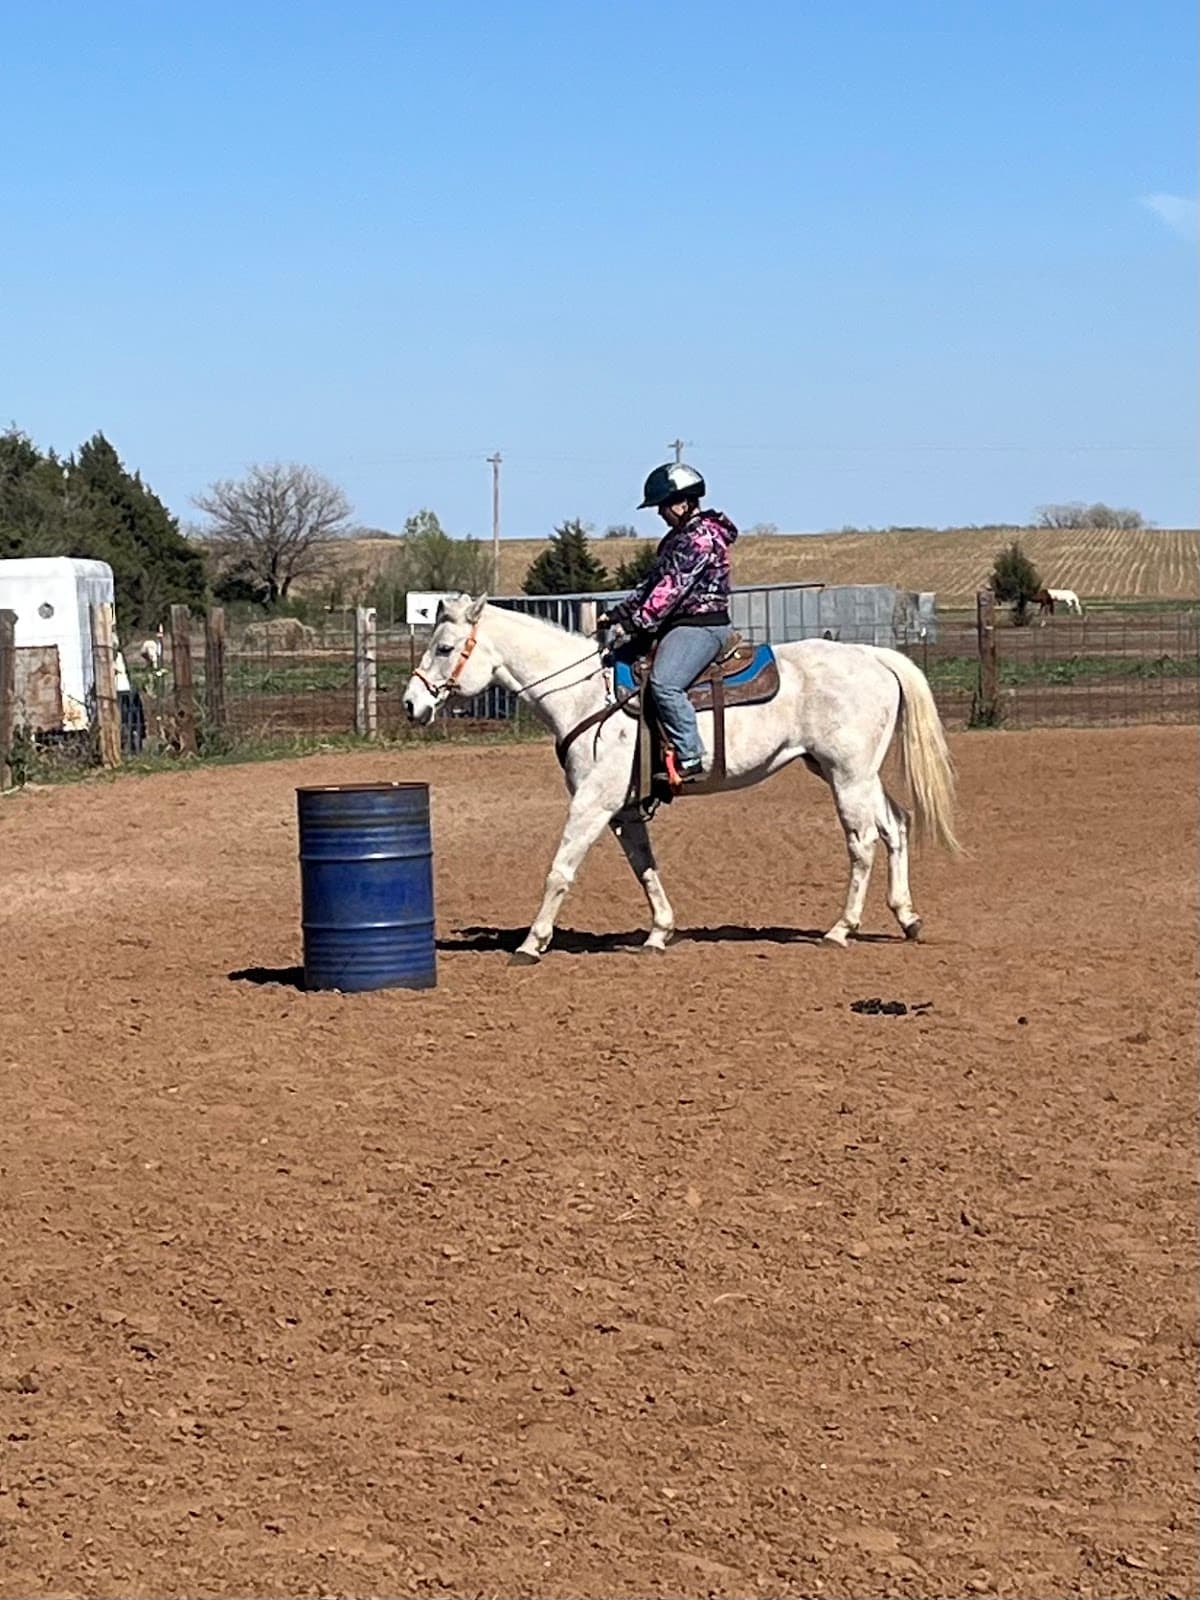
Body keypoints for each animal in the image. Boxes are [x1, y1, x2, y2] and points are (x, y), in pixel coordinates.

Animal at [403, 596, 960, 964]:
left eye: (446, 648)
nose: (412, 704)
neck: (586, 695)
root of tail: (873, 656)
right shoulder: (624, 810)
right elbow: (645, 868)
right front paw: (659, 933)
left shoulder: (592, 803)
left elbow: (559, 871)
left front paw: (531, 943)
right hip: (852, 775)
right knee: (897, 825)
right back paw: (907, 917)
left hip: (847, 776)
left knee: (862, 843)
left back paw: (841, 929)